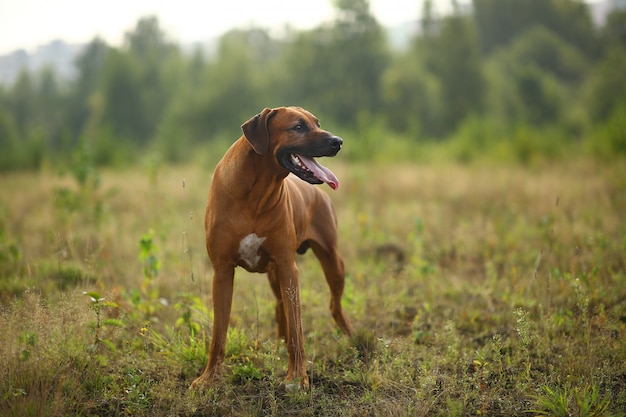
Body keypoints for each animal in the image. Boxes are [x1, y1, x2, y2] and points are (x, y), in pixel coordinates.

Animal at [190, 105, 354, 388]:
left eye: (317, 123)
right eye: (298, 127)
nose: (338, 141)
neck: (256, 193)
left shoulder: (288, 267)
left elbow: (298, 331)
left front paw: (298, 378)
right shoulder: (221, 271)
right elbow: (218, 333)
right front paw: (209, 378)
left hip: (332, 260)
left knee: (333, 306)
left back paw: (353, 339)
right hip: (275, 274)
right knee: (281, 308)